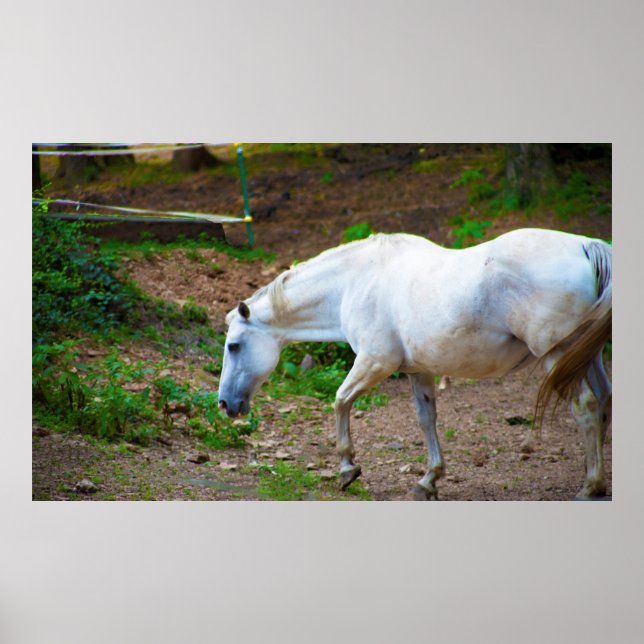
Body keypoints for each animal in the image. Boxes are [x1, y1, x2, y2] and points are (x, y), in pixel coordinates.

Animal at [218, 228, 612, 500]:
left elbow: (341, 400)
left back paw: (589, 487)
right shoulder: (419, 371)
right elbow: (426, 420)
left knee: (586, 407)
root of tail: (585, 245)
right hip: (585, 358)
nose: (225, 404)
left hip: (556, 357)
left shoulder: (375, 362)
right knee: (604, 404)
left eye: (234, 346)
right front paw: (429, 480)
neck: (354, 282)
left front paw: (347, 468)